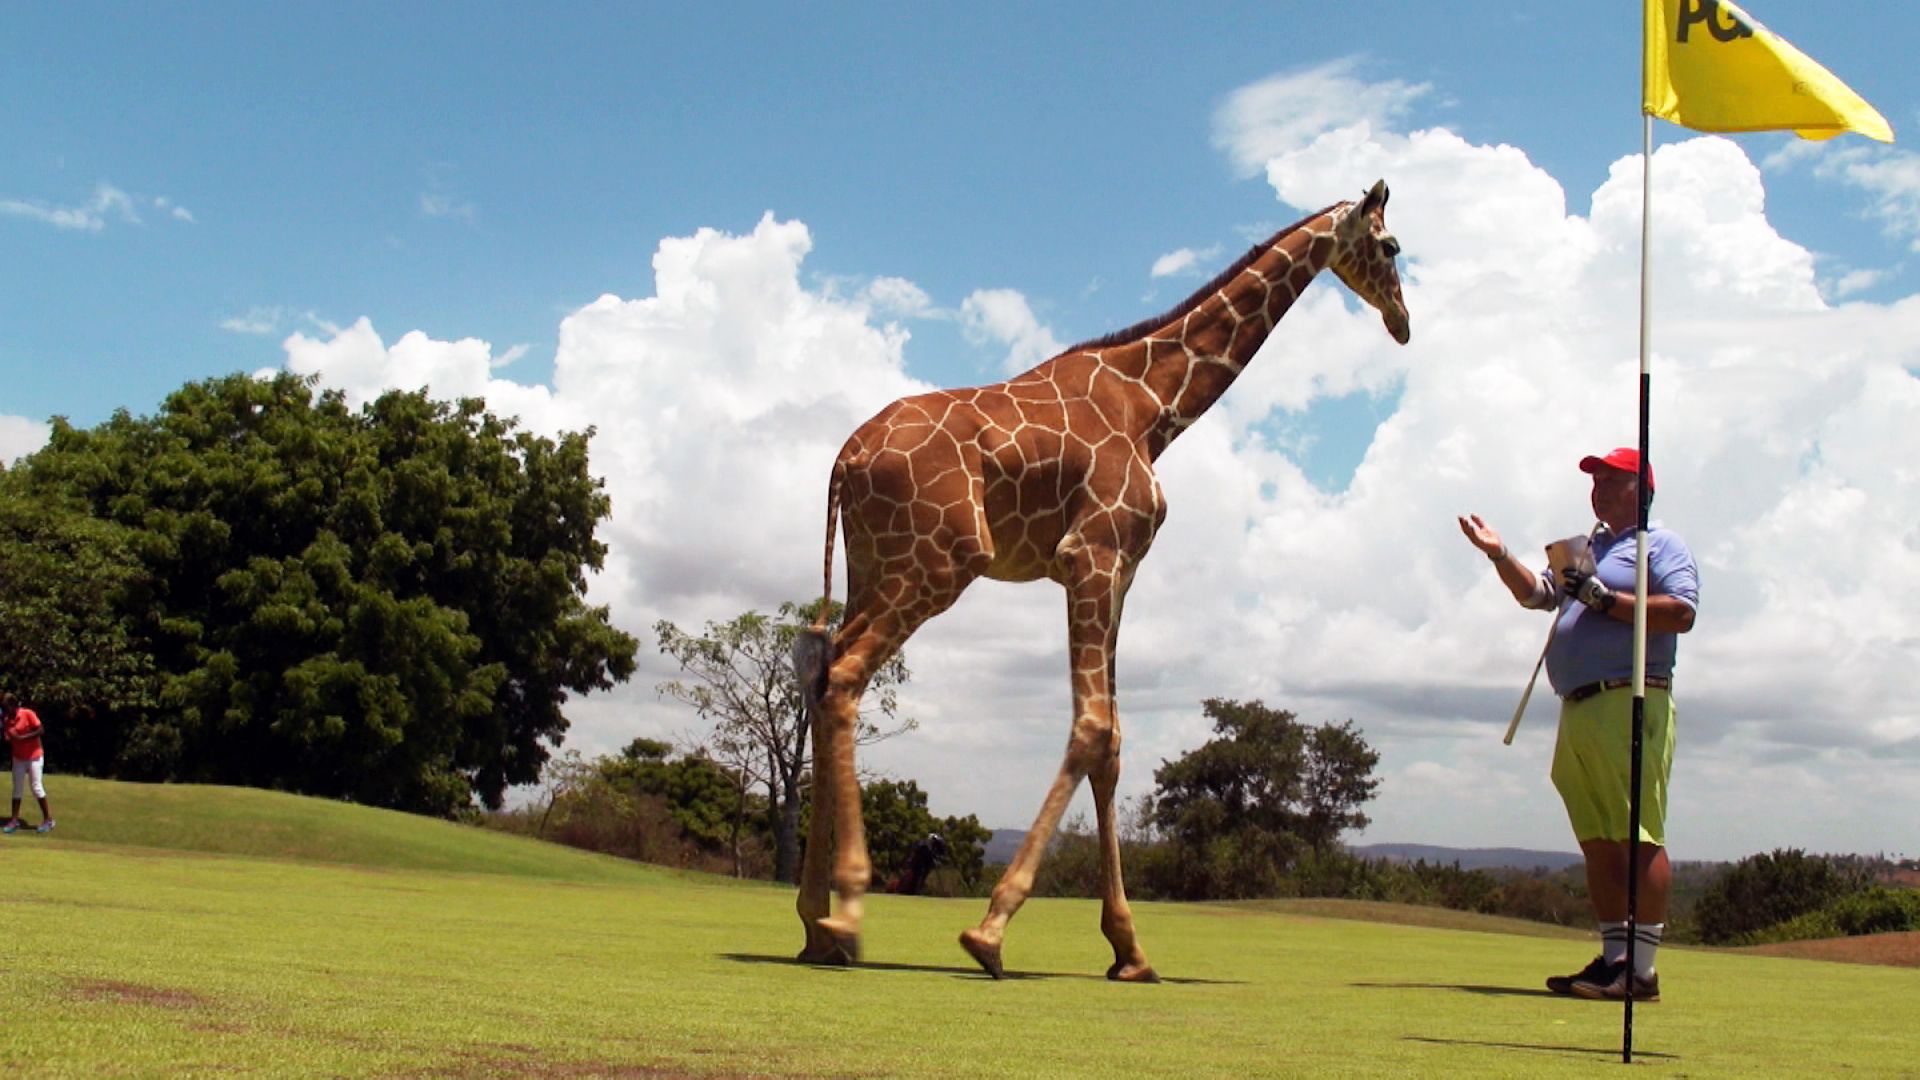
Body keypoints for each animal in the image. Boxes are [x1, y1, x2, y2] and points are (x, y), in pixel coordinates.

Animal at [791, 178, 1413, 976]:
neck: (1154, 406)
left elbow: (1114, 743)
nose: (1403, 321)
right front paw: (990, 931)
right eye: (1391, 246)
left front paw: (1130, 947)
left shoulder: (1121, 570)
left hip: (875, 565)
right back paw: (849, 910)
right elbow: (1090, 728)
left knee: (820, 672)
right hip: (939, 564)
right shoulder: (1092, 555)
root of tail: (846, 459)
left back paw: (814, 922)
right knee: (845, 677)